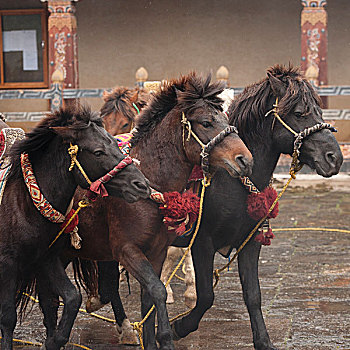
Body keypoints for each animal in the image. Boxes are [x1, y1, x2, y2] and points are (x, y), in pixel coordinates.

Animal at [0, 105, 150, 350]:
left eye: (115, 143)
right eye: (98, 152)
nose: (141, 185)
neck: (25, 202)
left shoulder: (46, 257)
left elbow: (71, 298)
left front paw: (54, 340)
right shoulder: (7, 264)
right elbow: (8, 317)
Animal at [41, 72, 252, 350]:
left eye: (225, 118)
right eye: (206, 122)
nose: (245, 159)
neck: (150, 183)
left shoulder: (156, 250)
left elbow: (149, 296)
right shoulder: (127, 250)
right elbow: (157, 289)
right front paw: (166, 335)